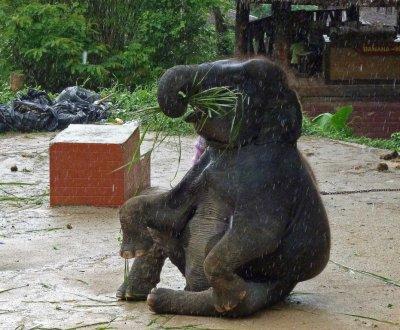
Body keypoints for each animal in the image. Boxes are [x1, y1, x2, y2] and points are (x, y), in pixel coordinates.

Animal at [115, 57, 332, 318]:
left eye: (235, 81)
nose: (185, 100)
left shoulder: (270, 178)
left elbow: (259, 232)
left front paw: (229, 297)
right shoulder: (202, 169)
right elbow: (168, 210)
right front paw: (130, 252)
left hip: (275, 284)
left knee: (245, 302)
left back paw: (199, 300)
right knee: (161, 231)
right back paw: (132, 293)